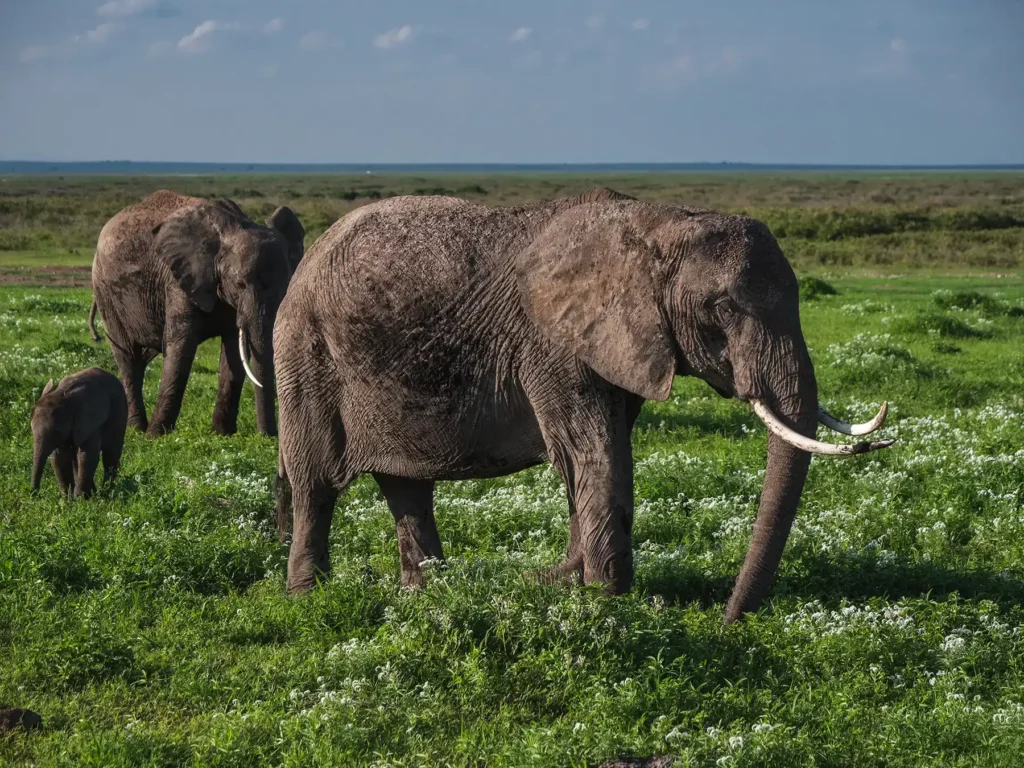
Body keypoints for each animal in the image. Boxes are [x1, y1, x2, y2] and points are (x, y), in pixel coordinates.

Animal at [31, 367, 128, 498]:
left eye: (57, 432)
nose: (35, 494)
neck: (62, 396)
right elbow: (59, 457)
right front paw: (68, 499)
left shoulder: (90, 422)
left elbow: (87, 455)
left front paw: (79, 498)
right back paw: (93, 493)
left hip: (120, 412)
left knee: (111, 453)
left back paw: (106, 493)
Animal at [90, 190, 304, 437]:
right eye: (240, 284)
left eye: (286, 285)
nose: (269, 436)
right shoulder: (178, 280)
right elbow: (180, 347)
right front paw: (155, 437)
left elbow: (233, 353)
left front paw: (222, 434)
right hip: (106, 292)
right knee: (127, 357)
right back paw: (137, 430)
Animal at [272, 187, 893, 622]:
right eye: (722, 309)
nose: (727, 620)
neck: (657, 224)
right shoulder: (553, 343)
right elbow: (591, 452)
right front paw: (606, 599)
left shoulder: (622, 344)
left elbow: (600, 453)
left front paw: (565, 583)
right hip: (304, 355)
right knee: (316, 482)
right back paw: (310, 599)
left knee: (407, 487)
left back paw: (427, 593)